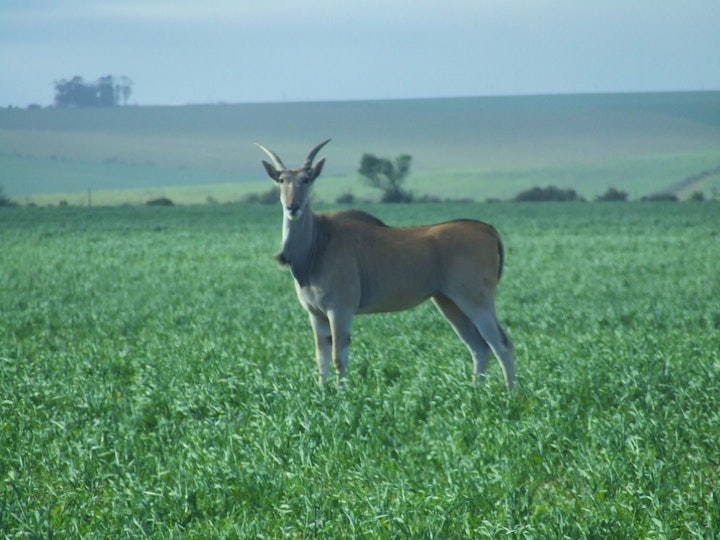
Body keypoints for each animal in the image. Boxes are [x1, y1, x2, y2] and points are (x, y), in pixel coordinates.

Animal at [256, 139, 516, 390]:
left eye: (306, 179)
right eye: (282, 180)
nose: (293, 207)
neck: (317, 245)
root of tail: (487, 230)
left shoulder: (340, 310)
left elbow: (339, 357)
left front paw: (341, 395)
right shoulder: (316, 314)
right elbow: (322, 359)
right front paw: (322, 394)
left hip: (475, 299)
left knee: (501, 343)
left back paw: (509, 393)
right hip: (448, 302)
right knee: (479, 346)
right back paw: (475, 392)